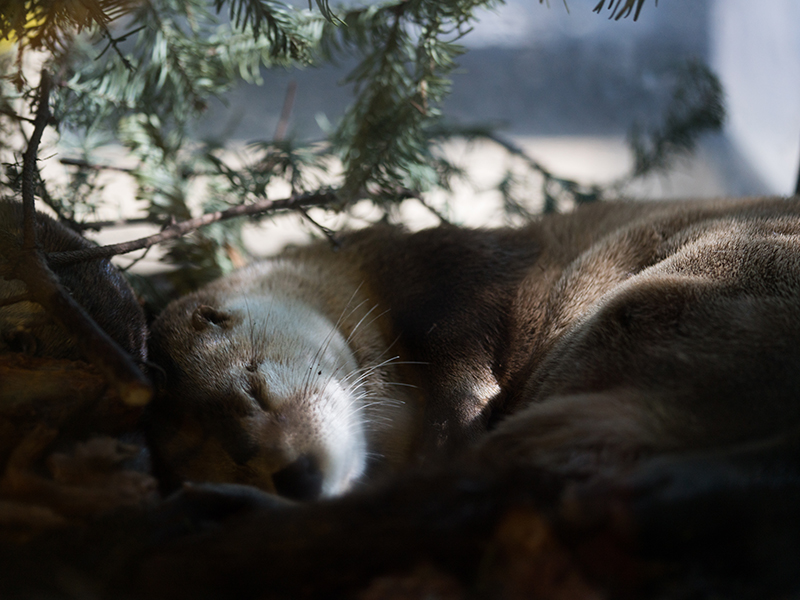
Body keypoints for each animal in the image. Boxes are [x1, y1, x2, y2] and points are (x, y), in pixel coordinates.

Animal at [149, 196, 800, 500]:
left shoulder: (460, 272)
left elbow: (468, 340)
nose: (298, 478)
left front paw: (455, 420)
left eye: (255, 386)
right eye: (234, 460)